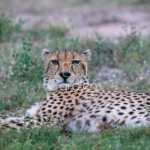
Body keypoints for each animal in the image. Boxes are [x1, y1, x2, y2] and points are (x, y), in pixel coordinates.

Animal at [0, 49, 150, 134]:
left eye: (75, 62)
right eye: (55, 62)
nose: (65, 75)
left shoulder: (44, 122)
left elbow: (9, 125)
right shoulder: (32, 116)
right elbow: (10, 118)